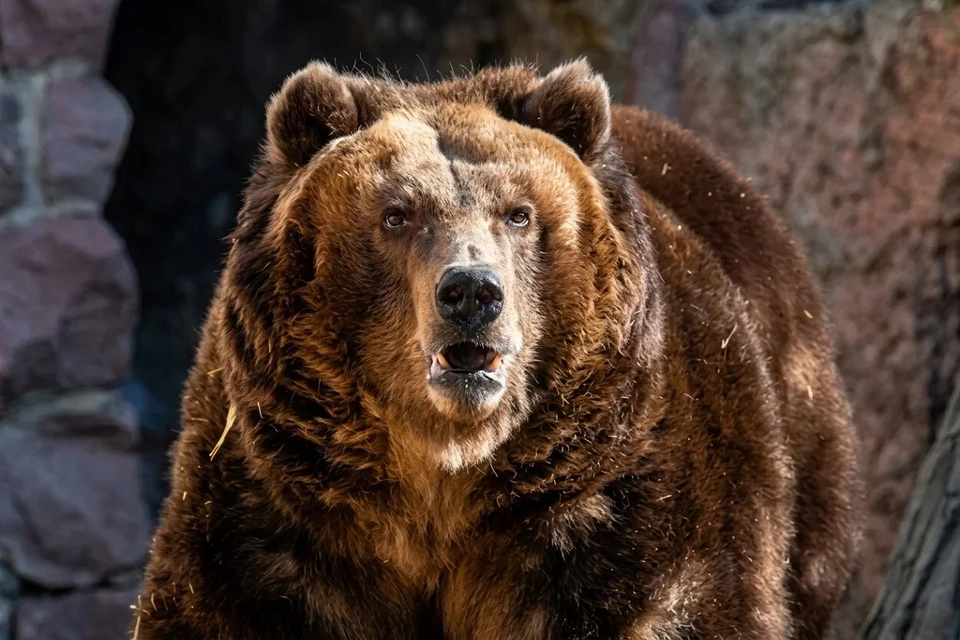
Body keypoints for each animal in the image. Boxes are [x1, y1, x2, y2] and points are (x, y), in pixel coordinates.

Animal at [132, 60, 863, 640]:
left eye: (518, 213)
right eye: (397, 214)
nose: (471, 293)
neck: (442, 478)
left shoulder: (622, 509)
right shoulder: (273, 505)